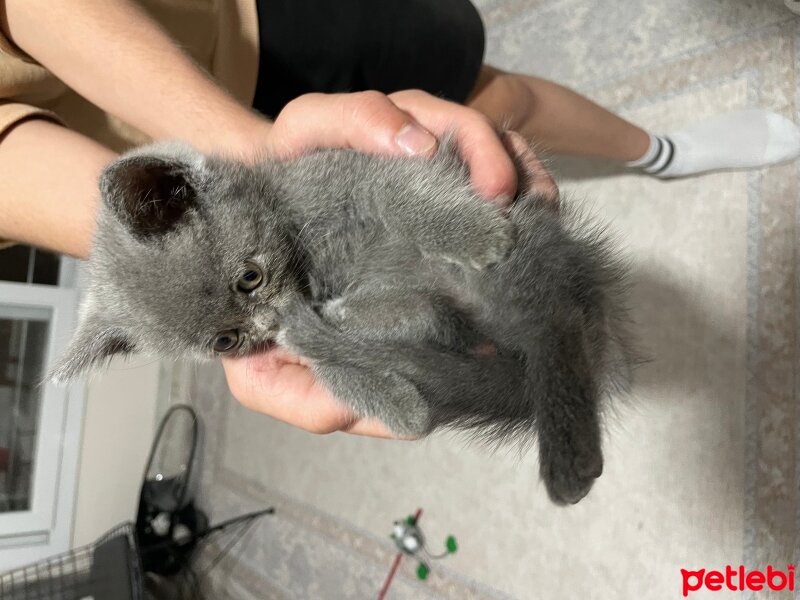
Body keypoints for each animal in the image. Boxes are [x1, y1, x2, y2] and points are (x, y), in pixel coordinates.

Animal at [53, 141, 636, 506]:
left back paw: (569, 462)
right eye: (226, 340)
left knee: (556, 328)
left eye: (249, 277)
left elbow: (401, 191)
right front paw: (400, 407)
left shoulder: (356, 171)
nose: (268, 323)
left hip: (522, 264)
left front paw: (476, 233)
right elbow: (331, 363)